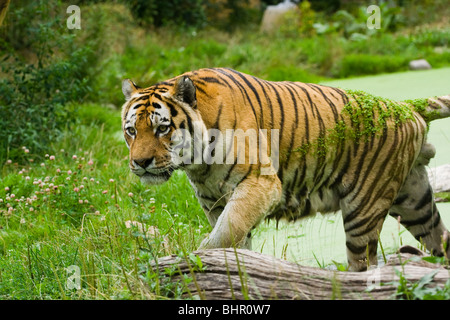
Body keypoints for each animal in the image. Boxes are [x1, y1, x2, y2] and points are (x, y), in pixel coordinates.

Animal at [120, 67, 450, 270]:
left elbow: (225, 234)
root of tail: (406, 105)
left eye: (162, 128)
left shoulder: (260, 184)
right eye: (131, 131)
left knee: (363, 265)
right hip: (414, 201)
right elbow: (234, 235)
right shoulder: (214, 201)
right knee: (441, 238)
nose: (140, 163)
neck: (197, 164)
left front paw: (196, 260)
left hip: (364, 207)